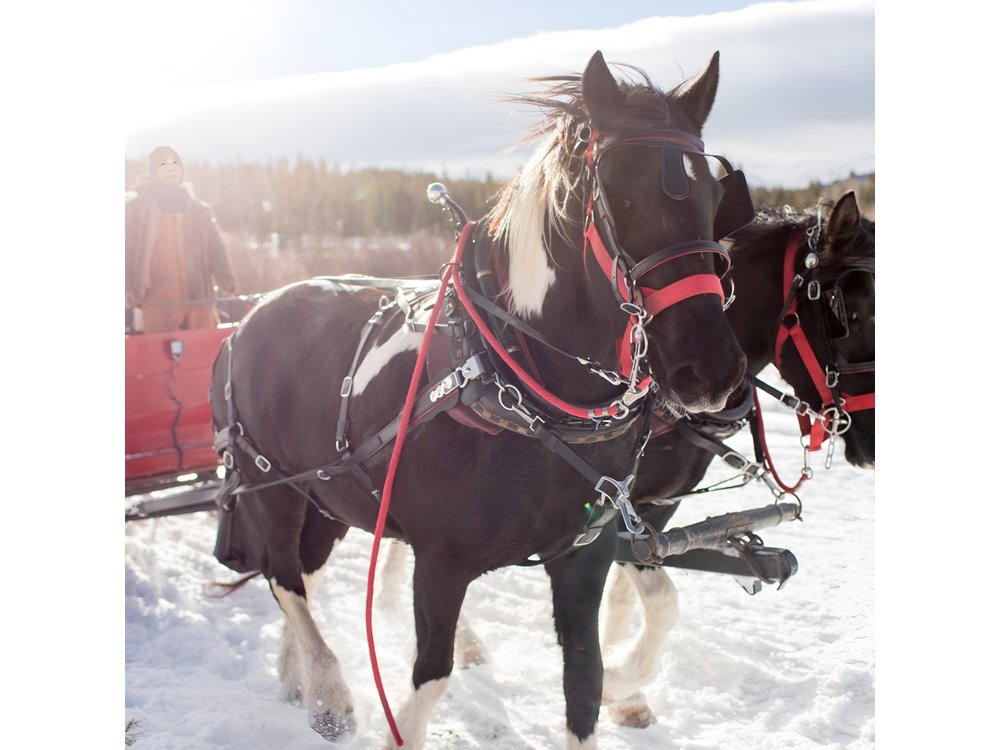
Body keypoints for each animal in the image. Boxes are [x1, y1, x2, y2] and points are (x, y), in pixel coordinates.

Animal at [209, 50, 752, 748]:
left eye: (714, 197)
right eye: (621, 195)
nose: (710, 369)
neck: (527, 390)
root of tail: (247, 317)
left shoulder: (585, 559)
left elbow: (586, 683)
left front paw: (618, 690)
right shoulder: (441, 564)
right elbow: (429, 678)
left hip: (327, 496)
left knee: (303, 572)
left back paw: (293, 673)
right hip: (269, 485)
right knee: (284, 578)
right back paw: (329, 690)